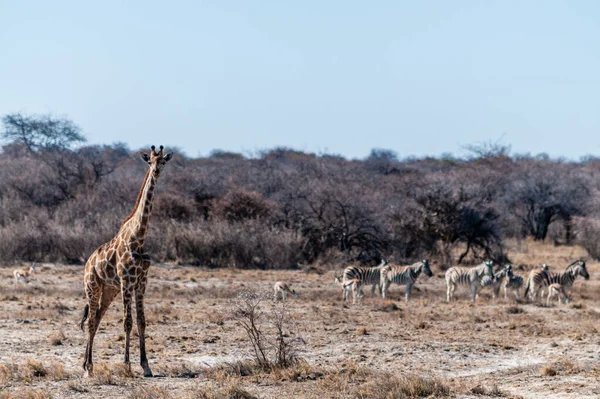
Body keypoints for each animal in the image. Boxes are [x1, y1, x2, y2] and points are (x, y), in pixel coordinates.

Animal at [79, 145, 171, 378]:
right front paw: (127, 365)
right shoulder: (126, 281)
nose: (156, 171)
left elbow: (142, 322)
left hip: (109, 290)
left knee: (97, 319)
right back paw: (88, 368)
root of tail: (87, 263)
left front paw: (146, 366)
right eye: (150, 161)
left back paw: (86, 365)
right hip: (92, 286)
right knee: (91, 320)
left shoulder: (141, 282)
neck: (139, 238)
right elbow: (127, 322)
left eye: (163, 161)